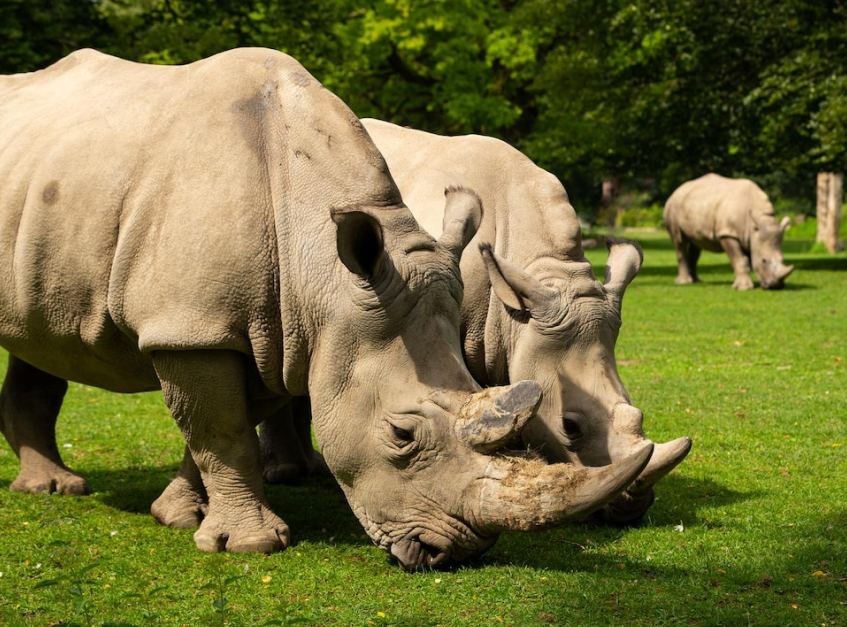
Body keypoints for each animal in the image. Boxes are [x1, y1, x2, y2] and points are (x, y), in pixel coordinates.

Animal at [663, 173, 794, 290]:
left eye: (783, 259)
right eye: (764, 260)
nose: (776, 286)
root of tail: (677, 189)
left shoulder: (750, 236)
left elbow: (746, 259)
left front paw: (745, 284)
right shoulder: (728, 233)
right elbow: (739, 259)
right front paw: (743, 287)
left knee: (696, 243)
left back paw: (696, 281)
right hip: (672, 206)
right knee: (679, 240)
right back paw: (684, 282)